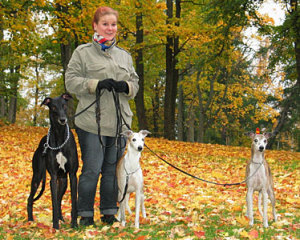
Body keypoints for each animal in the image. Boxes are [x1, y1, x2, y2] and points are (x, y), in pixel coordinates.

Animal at [27, 93, 78, 229]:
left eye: (64, 105)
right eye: (53, 107)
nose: (63, 120)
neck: (60, 137)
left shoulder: (72, 175)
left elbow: (73, 200)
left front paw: (74, 224)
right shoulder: (53, 177)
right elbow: (54, 202)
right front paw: (55, 226)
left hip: (63, 180)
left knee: (60, 199)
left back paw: (61, 218)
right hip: (37, 176)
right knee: (30, 198)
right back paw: (30, 220)